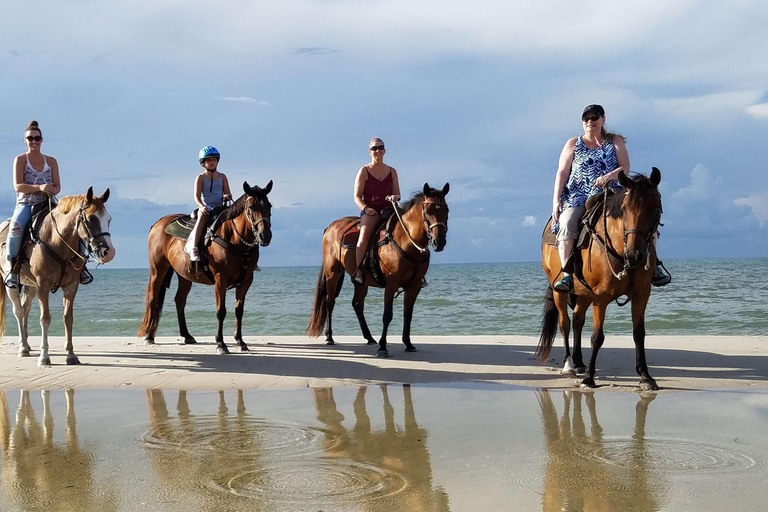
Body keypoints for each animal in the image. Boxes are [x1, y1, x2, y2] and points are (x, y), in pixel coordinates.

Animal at [0, 188, 115, 367]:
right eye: (91, 218)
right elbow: (45, 318)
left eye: (108, 219)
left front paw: (71, 355)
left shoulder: (71, 286)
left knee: (25, 309)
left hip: (30, 286)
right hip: (11, 284)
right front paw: (44, 357)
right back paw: (23, 348)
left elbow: (68, 318)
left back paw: (26, 344)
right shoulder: (43, 286)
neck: (56, 242)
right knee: (18, 312)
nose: (109, 252)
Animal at [138, 181, 272, 354]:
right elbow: (221, 311)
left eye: (269, 206)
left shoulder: (246, 280)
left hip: (184, 276)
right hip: (158, 270)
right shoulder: (220, 279)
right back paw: (149, 336)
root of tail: (158, 223)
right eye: (251, 207)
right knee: (153, 299)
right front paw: (221, 344)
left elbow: (239, 311)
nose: (265, 236)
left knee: (179, 300)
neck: (235, 239)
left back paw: (187, 335)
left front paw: (240, 341)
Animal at [307, 182, 449, 358]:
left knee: (357, 304)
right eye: (428, 211)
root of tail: (331, 227)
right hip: (332, 273)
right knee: (330, 302)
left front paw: (408, 343)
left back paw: (369, 337)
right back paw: (329, 337)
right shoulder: (391, 284)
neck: (406, 241)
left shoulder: (414, 286)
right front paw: (383, 347)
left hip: (361, 281)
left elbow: (408, 314)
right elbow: (387, 315)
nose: (439, 242)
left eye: (446, 211)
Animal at [538, 168, 663, 390]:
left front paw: (645, 377)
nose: (635, 255)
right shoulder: (601, 297)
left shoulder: (641, 294)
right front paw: (589, 378)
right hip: (559, 291)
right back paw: (569, 365)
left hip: (584, 294)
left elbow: (639, 334)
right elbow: (597, 337)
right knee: (565, 323)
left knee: (578, 320)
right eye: (624, 208)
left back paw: (579, 362)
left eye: (654, 207)